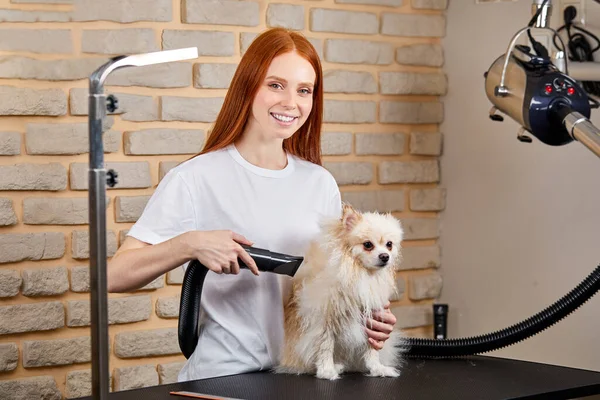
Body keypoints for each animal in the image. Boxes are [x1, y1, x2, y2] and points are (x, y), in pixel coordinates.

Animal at [278, 205, 408, 380]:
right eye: (368, 244)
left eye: (389, 244)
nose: (385, 256)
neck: (360, 273)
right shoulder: (325, 320)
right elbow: (325, 346)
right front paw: (326, 370)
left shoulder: (371, 319)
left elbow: (372, 349)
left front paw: (377, 368)